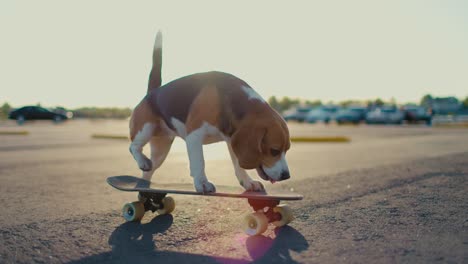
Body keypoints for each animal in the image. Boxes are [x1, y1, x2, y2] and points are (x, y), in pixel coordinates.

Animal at [128, 32, 288, 193]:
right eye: (274, 151)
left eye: (287, 149)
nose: (286, 176)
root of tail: (152, 92)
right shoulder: (194, 136)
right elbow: (200, 162)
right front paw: (202, 183)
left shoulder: (232, 139)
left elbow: (238, 165)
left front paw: (248, 182)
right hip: (145, 129)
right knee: (134, 147)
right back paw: (142, 161)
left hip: (161, 150)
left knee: (149, 170)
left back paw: (143, 185)